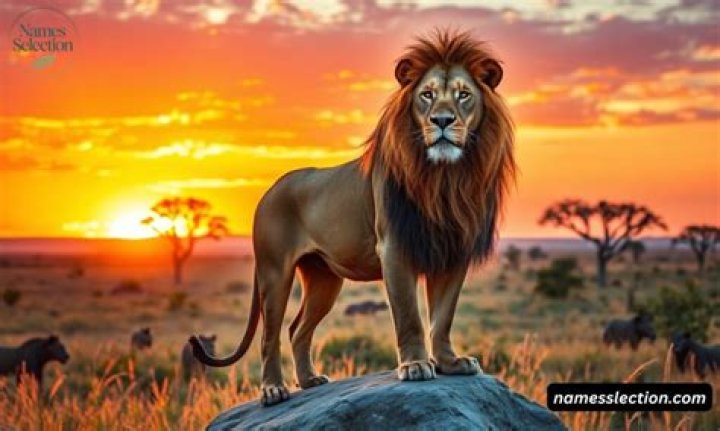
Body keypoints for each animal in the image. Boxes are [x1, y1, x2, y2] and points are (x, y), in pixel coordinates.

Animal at [191, 30, 516, 406]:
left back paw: (310, 380)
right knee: (269, 334)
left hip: (324, 278)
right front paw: (416, 366)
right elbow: (410, 316)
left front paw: (450, 363)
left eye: (464, 95)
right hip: (274, 271)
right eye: (427, 95)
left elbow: (443, 317)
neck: (446, 178)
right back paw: (273, 390)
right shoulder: (394, 249)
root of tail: (271, 188)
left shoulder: (453, 251)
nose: (442, 121)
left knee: (297, 329)